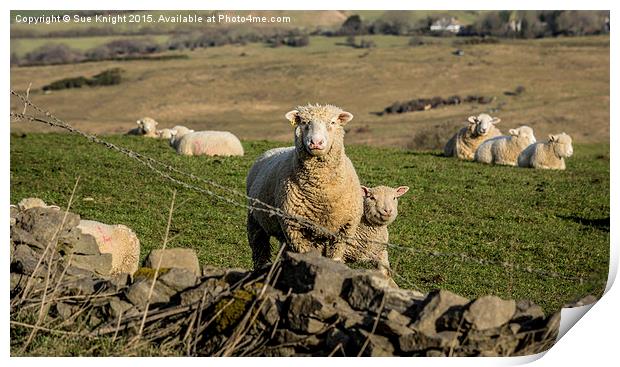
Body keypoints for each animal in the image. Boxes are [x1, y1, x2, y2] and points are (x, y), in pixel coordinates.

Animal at [246, 104, 364, 270]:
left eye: (333, 122)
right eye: (304, 122)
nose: (316, 142)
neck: (321, 192)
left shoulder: (343, 231)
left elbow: (334, 257)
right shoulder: (295, 229)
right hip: (255, 220)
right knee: (259, 246)